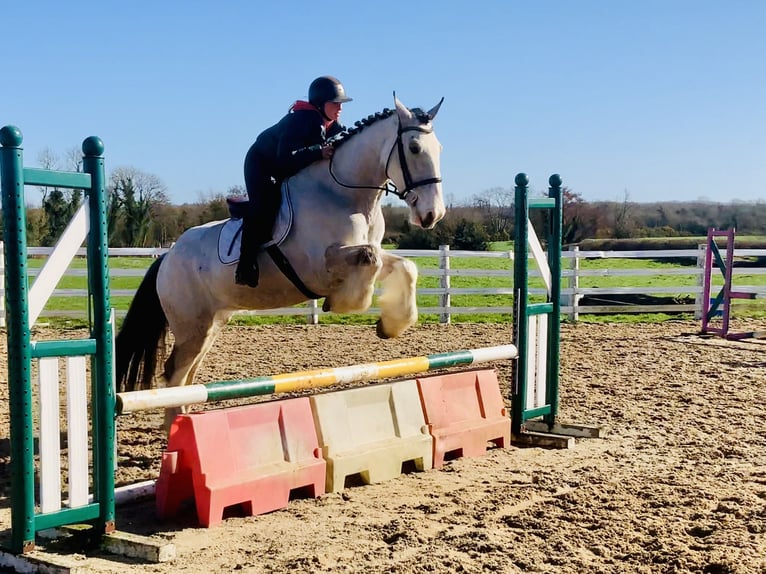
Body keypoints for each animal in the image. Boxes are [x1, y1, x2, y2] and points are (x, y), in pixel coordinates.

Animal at [115, 94, 446, 429]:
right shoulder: (319, 266)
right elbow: (370, 258)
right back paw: (175, 429)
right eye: (414, 148)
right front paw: (345, 303)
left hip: (211, 323)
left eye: (440, 149)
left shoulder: (366, 252)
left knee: (188, 374)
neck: (345, 195)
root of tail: (167, 257)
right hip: (191, 324)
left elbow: (404, 266)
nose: (432, 214)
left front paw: (391, 325)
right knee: (175, 372)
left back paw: (186, 419)